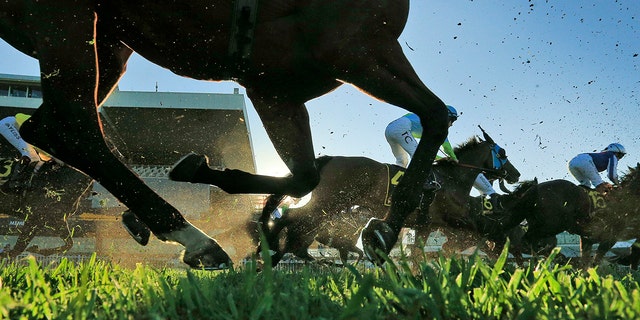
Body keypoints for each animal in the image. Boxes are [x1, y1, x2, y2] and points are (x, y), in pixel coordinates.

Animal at [0, 0, 450, 268]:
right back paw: (194, 238)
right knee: (70, 126)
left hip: (106, 38)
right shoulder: (355, 50)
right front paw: (382, 232)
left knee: (52, 127)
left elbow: (304, 176)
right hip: (66, 17)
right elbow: (437, 115)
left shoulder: (279, 89)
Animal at [258, 130, 524, 268]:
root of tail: (329, 158)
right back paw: (271, 249)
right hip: (328, 202)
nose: (516, 173)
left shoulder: (426, 225)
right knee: (292, 217)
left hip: (329, 205)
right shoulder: (457, 218)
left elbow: (418, 253)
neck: (453, 178)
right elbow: (484, 231)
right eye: (502, 153)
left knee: (295, 221)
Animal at [510, 165, 640, 268]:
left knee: (529, 244)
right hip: (552, 225)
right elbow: (595, 261)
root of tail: (534, 189)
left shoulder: (588, 238)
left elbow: (586, 261)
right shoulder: (610, 237)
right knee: (527, 242)